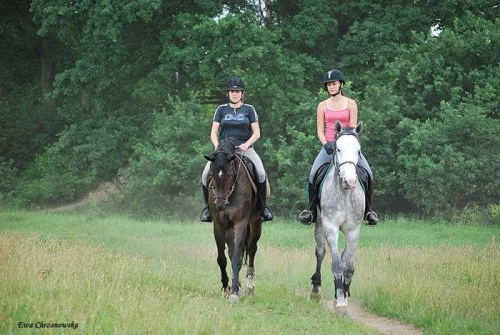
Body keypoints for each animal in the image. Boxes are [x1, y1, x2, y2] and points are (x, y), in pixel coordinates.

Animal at [204, 138, 266, 304]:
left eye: (230, 174)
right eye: (212, 174)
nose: (220, 204)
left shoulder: (241, 223)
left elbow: (237, 258)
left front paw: (234, 293)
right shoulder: (219, 225)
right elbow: (222, 259)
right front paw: (227, 288)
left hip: (255, 223)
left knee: (252, 248)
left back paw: (249, 286)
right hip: (228, 229)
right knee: (232, 252)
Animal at [310, 122, 366, 308]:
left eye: (358, 150)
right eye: (338, 149)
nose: (350, 181)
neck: (345, 193)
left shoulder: (353, 231)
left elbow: (347, 266)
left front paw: (344, 294)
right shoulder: (331, 227)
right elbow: (336, 264)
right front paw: (340, 300)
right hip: (319, 224)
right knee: (320, 252)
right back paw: (315, 290)